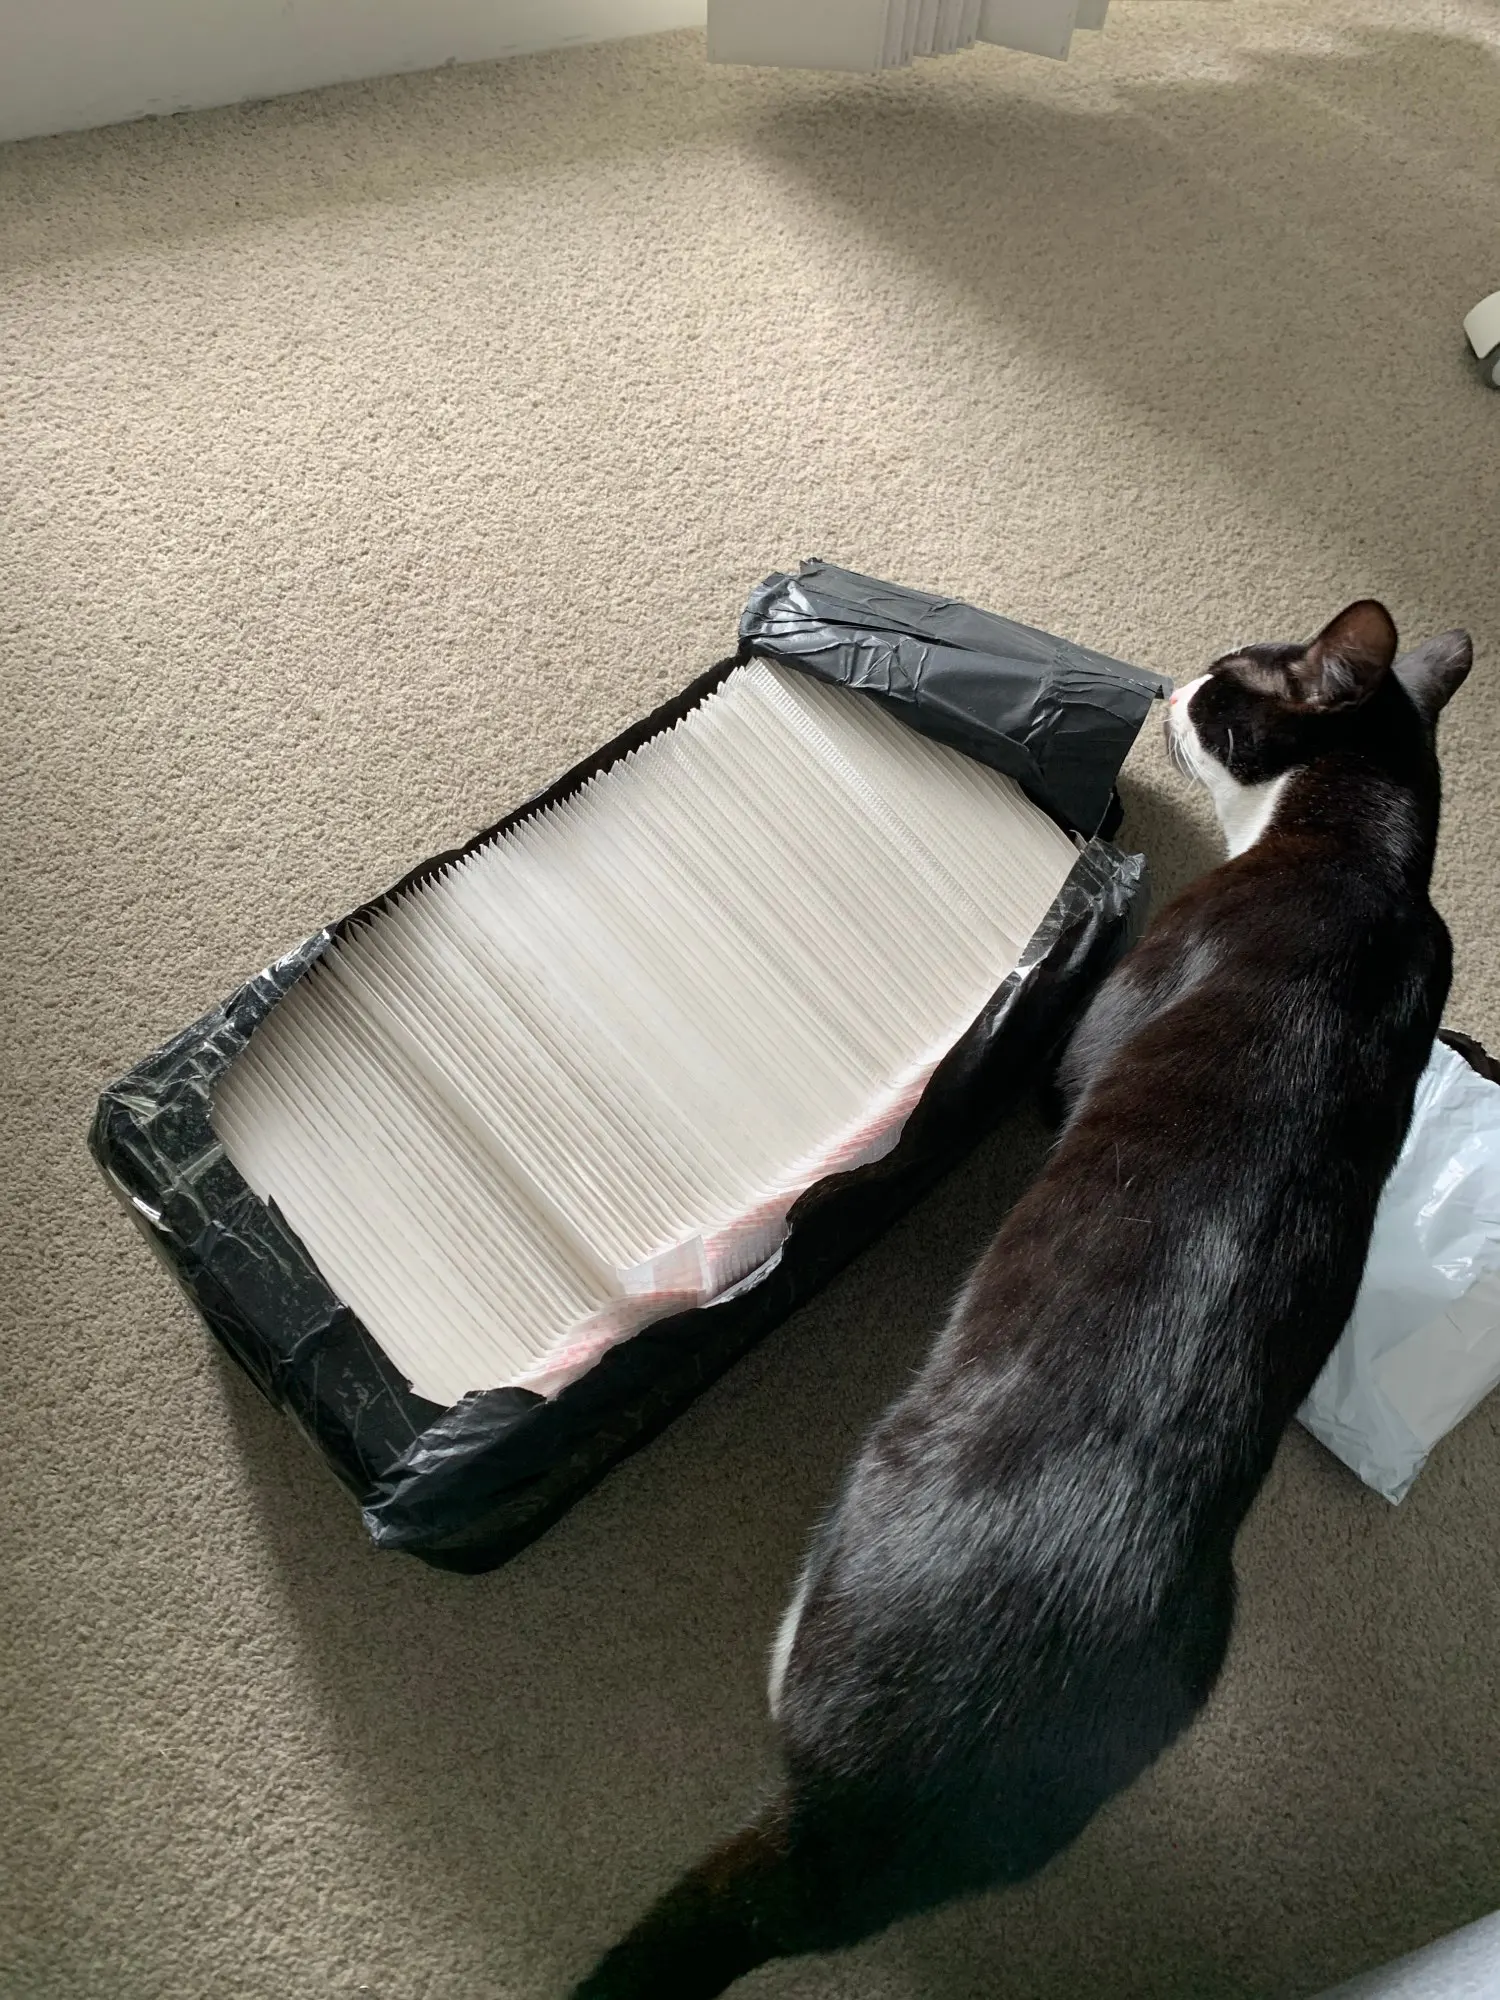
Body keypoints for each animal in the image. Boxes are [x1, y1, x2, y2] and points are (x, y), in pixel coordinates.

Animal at [570, 601, 1472, 2000]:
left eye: (1225, 684)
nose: (1174, 680)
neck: (1367, 853)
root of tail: (847, 1834)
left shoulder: (1103, 1027)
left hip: (861, 1502)